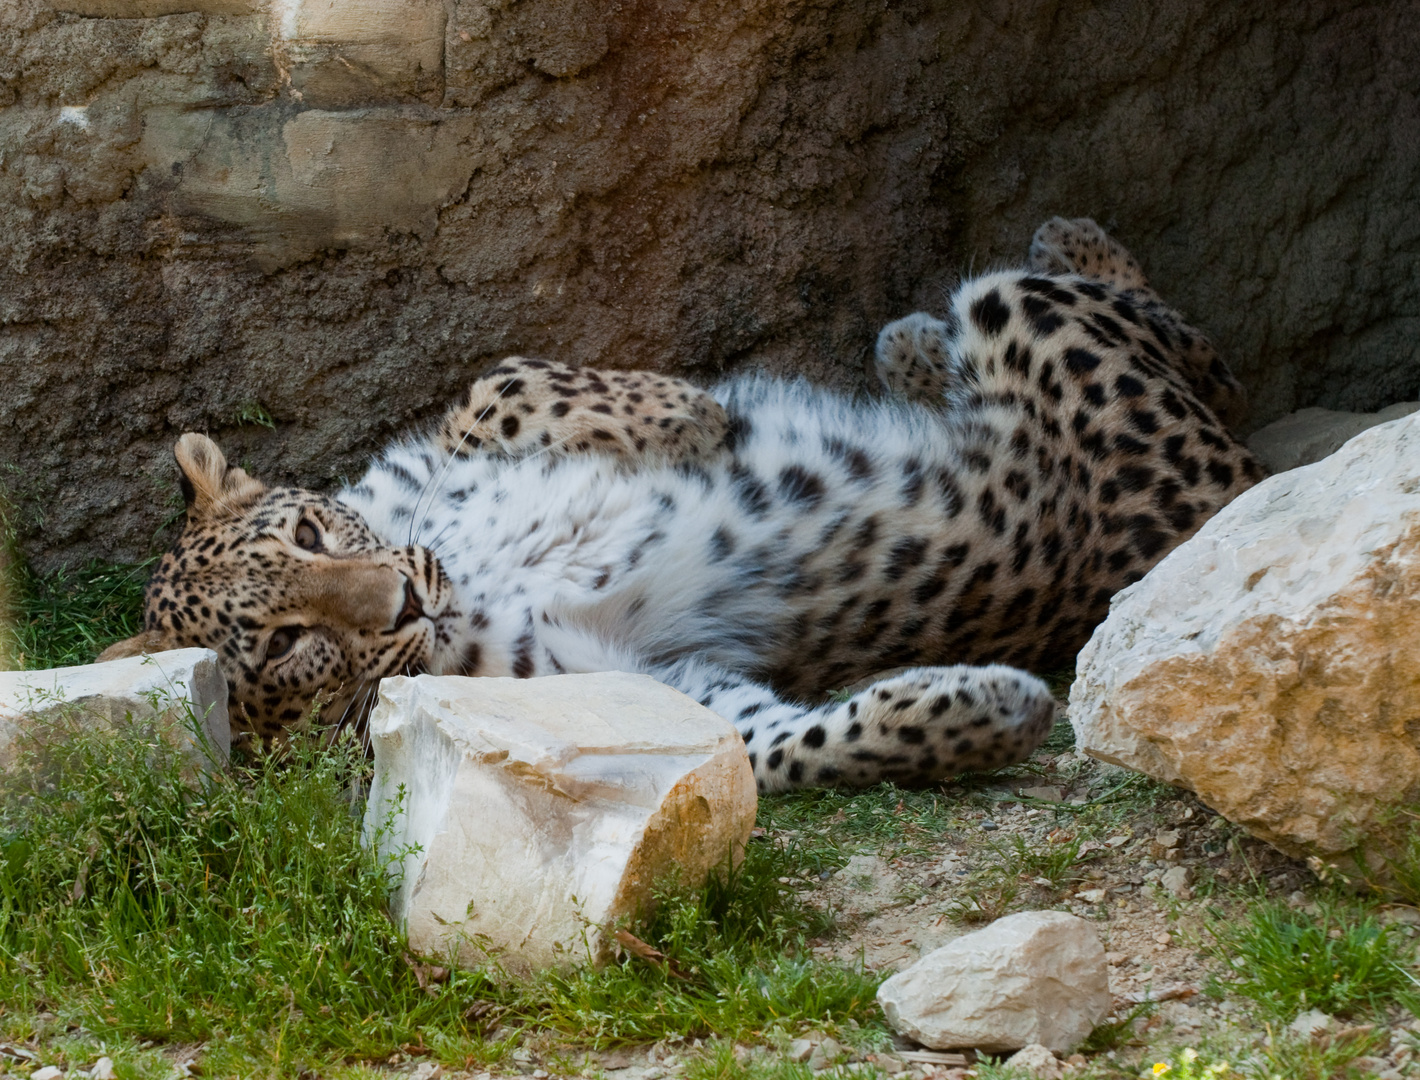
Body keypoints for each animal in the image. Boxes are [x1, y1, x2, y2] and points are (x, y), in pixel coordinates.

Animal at [105, 218, 1272, 794]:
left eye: (309, 534)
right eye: (285, 644)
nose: (401, 603)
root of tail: (1223, 492)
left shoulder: (432, 468)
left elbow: (499, 383)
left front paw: (690, 419)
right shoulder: (638, 687)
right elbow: (786, 745)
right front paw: (977, 713)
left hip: (1026, 315)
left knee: (1193, 346)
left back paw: (965, 309)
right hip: (1045, 333)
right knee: (1204, 360)